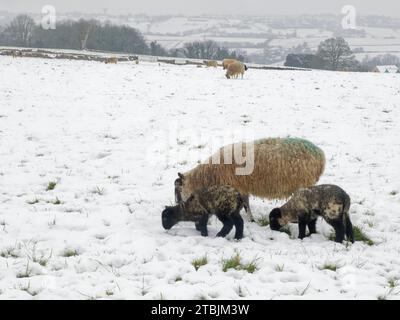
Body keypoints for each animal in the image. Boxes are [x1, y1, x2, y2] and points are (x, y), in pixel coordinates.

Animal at [175, 136, 324, 221]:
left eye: (178, 189)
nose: (178, 204)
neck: (211, 174)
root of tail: (320, 154)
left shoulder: (238, 186)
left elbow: (245, 204)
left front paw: (249, 218)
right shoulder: (242, 187)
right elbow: (245, 203)